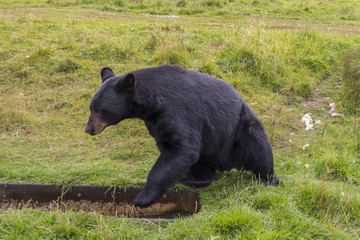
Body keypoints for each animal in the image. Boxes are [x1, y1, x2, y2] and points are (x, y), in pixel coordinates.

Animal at [84, 64, 278, 207]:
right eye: (91, 107)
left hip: (239, 129)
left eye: (99, 109)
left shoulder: (177, 110)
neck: (150, 104)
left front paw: (142, 198)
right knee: (201, 159)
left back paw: (270, 178)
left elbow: (181, 147)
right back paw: (197, 179)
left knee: (258, 149)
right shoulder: (156, 121)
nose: (88, 128)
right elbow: (174, 147)